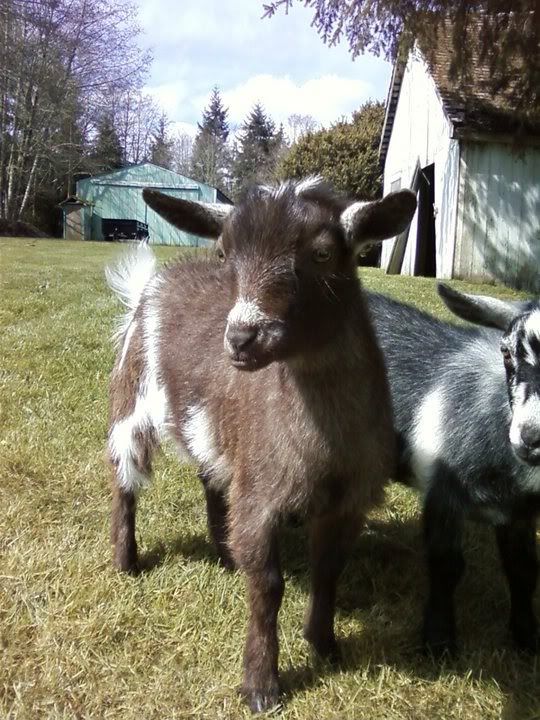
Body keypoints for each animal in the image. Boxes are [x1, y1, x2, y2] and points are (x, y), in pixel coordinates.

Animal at [106, 178, 417, 712]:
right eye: (224, 252)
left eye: (322, 253)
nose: (241, 338)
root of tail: (154, 282)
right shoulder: (261, 495)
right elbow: (268, 587)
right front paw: (261, 685)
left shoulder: (348, 501)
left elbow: (328, 570)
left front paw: (324, 644)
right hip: (133, 398)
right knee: (125, 477)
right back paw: (127, 562)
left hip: (211, 431)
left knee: (210, 477)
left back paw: (225, 553)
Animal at [367, 284, 540, 656]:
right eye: (506, 353)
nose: (531, 438)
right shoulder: (443, 491)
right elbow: (446, 564)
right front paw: (439, 641)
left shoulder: (519, 512)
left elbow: (523, 569)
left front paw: (526, 637)